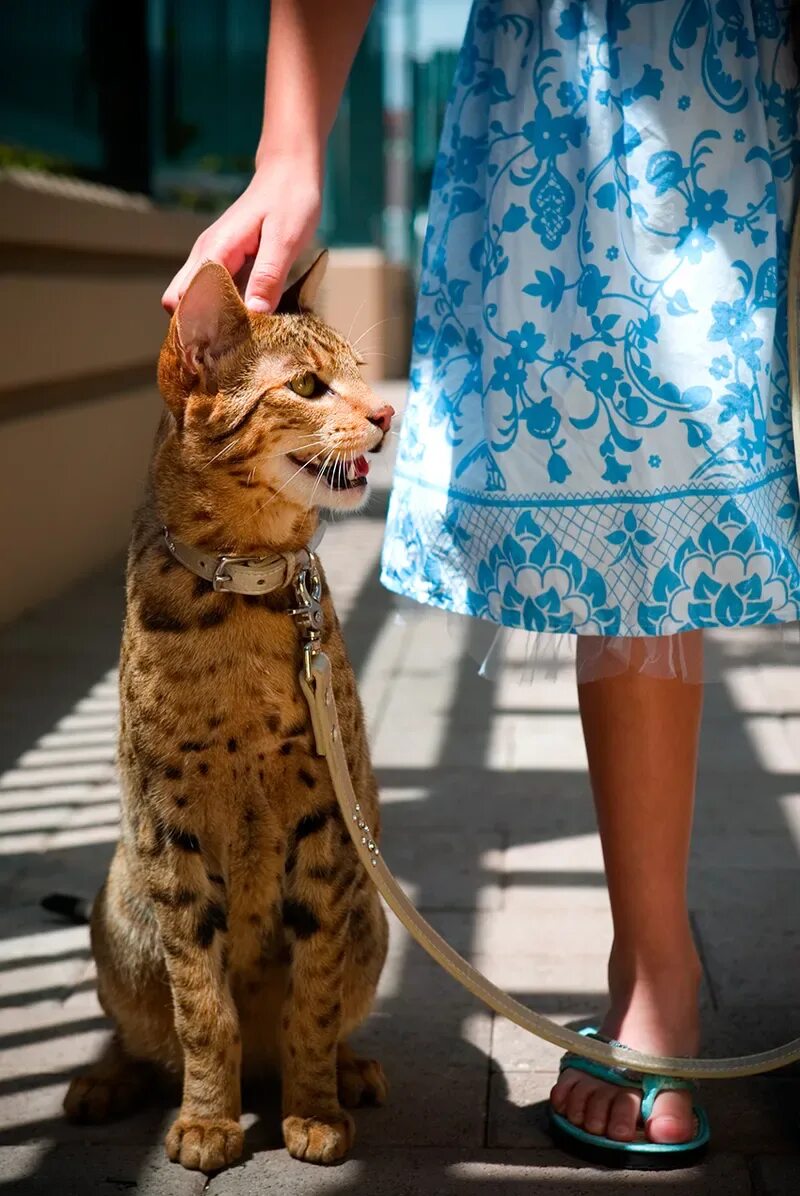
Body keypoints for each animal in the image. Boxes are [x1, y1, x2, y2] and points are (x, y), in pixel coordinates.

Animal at [64, 252, 392, 1167]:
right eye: (309, 385)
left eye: (361, 373)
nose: (388, 411)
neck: (243, 586)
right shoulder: (168, 829)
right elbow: (202, 1008)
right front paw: (209, 1118)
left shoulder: (326, 825)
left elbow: (313, 997)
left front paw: (314, 1109)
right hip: (120, 904)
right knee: (142, 1033)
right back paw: (106, 1081)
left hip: (371, 911)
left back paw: (348, 1070)